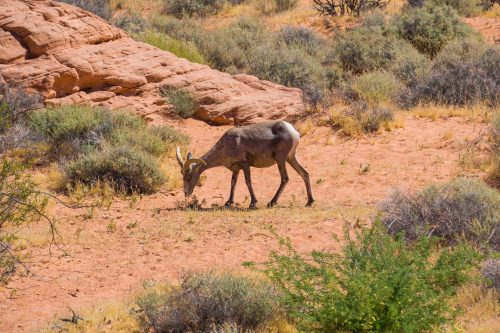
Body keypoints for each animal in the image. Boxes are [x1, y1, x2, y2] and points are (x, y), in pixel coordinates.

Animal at [177, 119, 312, 208]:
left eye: (190, 176)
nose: (186, 193)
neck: (227, 145)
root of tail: (294, 132)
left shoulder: (245, 165)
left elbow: (248, 182)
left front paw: (253, 203)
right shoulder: (236, 169)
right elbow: (233, 183)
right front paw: (228, 202)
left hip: (281, 159)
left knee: (285, 178)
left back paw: (271, 203)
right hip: (291, 158)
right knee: (305, 174)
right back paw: (309, 202)